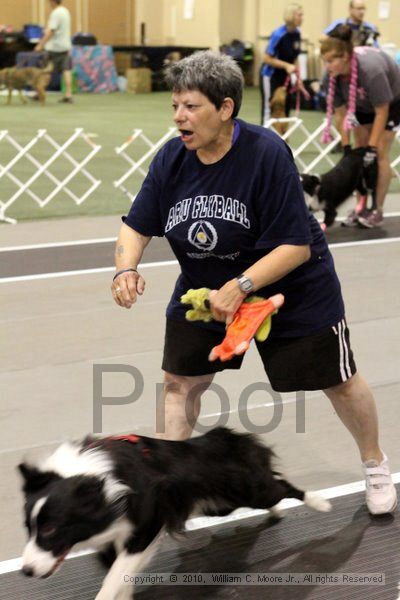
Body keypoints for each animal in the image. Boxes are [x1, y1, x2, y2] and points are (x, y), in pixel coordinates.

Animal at [18, 426, 332, 600]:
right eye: (29, 528)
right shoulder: (112, 535)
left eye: (50, 529)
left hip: (247, 490)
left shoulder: (147, 524)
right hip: (220, 504)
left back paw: (319, 503)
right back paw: (277, 512)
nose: (26, 571)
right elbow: (118, 573)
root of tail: (229, 438)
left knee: (282, 486)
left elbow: (116, 575)